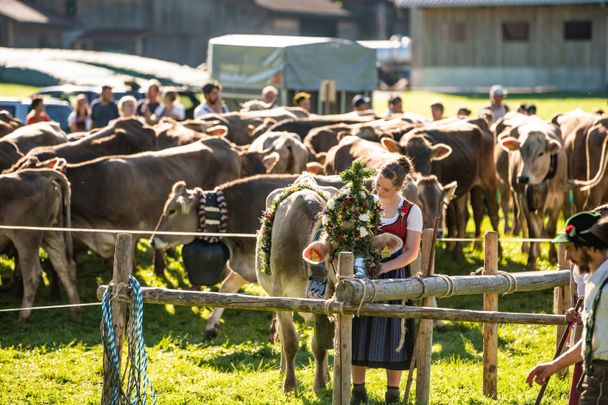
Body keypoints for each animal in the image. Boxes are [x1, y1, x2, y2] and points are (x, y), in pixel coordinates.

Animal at [0, 169, 79, 320]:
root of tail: (39, 173)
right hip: (52, 234)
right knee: (65, 268)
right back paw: (75, 312)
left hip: (26, 238)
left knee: (33, 275)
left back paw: (22, 317)